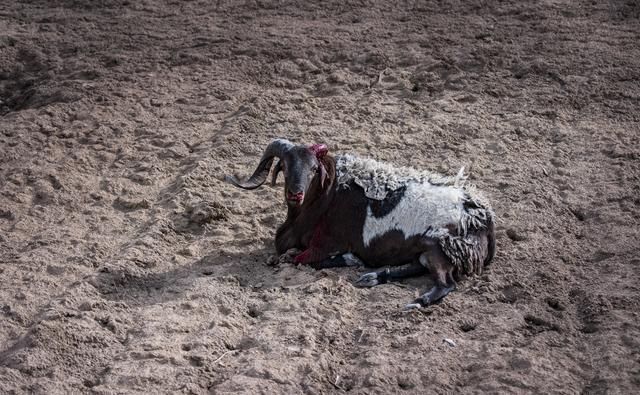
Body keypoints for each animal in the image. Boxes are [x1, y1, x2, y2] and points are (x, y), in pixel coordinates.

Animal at [225, 139, 496, 310]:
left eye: (314, 169)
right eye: (285, 166)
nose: (295, 194)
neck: (324, 199)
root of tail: (482, 214)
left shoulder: (324, 245)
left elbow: (295, 258)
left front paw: (350, 259)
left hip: (439, 246)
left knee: (445, 283)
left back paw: (414, 302)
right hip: (430, 251)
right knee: (417, 266)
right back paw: (374, 276)